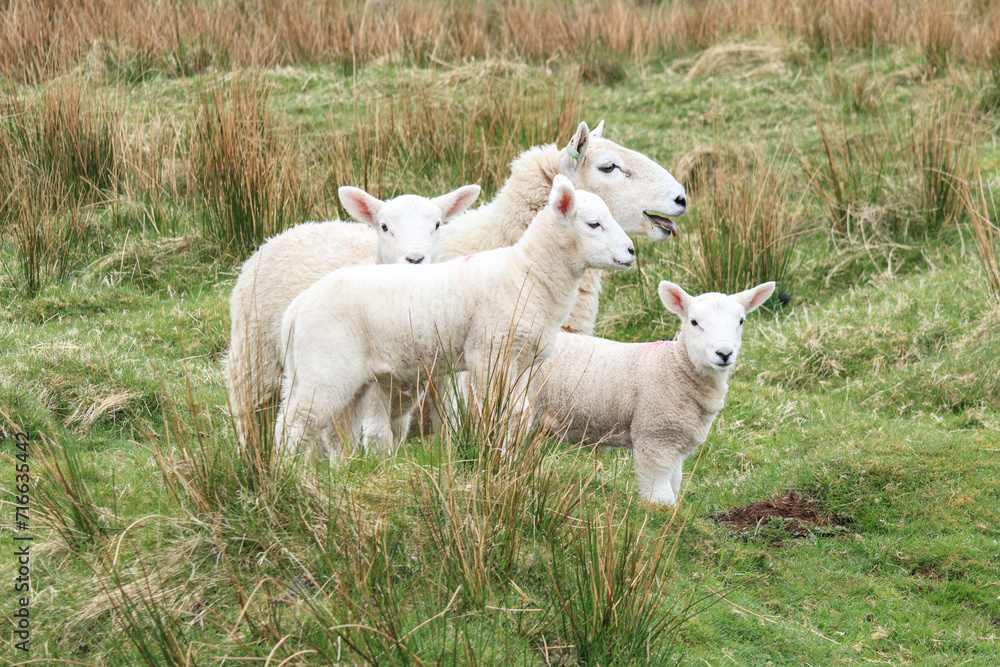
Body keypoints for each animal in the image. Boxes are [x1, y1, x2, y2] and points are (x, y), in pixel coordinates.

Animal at [226, 184, 481, 446]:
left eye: (438, 224)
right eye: (384, 226)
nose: (415, 259)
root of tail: (291, 230)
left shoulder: (442, 374)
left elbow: (447, 424)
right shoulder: (374, 383)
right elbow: (377, 435)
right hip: (257, 354)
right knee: (250, 408)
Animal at [275, 175, 636, 458]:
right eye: (593, 224)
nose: (631, 252)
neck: (528, 273)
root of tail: (295, 309)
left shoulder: (523, 362)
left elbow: (520, 414)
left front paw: (509, 460)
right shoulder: (488, 353)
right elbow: (500, 411)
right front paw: (495, 459)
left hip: (338, 376)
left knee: (334, 427)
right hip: (325, 368)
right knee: (294, 423)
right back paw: (287, 476)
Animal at [530, 280, 776, 506]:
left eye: (741, 321)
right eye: (694, 322)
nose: (724, 353)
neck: (675, 367)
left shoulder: (675, 443)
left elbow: (675, 482)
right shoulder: (655, 437)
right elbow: (661, 492)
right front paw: (660, 512)